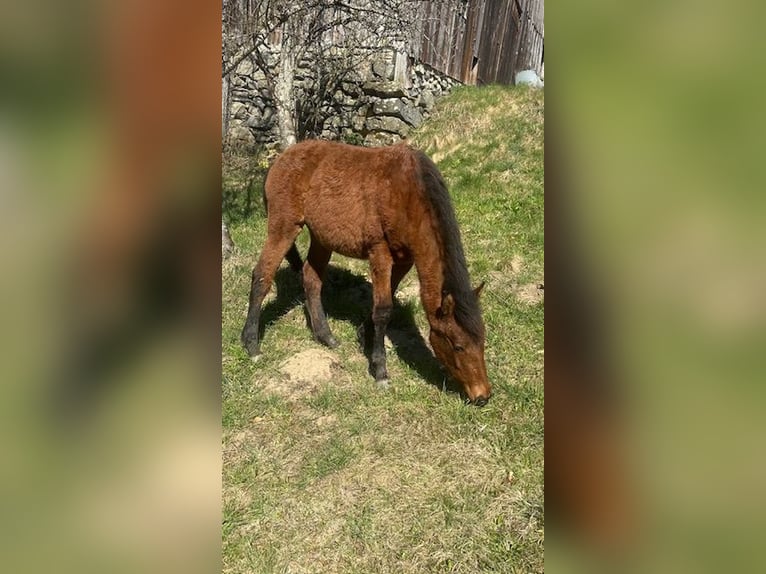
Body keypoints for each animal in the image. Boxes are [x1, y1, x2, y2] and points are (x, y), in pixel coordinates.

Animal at [241, 140, 491, 405]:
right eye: (458, 346)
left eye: (482, 342)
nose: (482, 396)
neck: (407, 194)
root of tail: (278, 160)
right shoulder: (379, 252)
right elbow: (383, 310)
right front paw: (380, 370)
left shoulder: (403, 260)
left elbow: (382, 302)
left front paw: (364, 335)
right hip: (284, 227)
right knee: (261, 277)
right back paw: (251, 344)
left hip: (321, 238)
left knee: (311, 278)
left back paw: (325, 336)